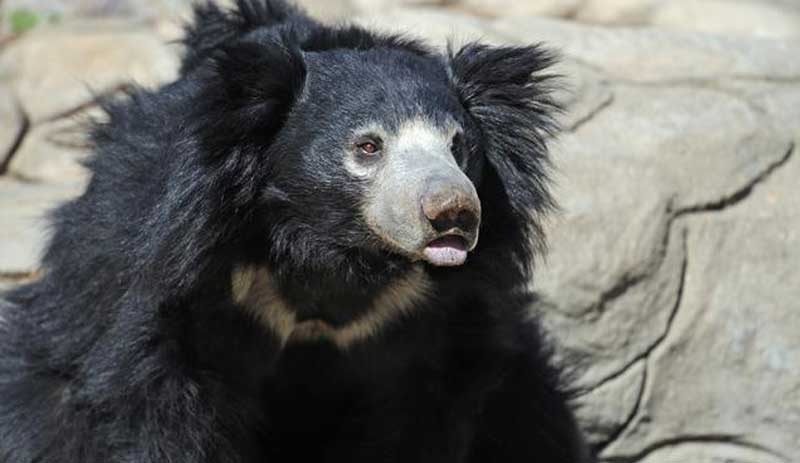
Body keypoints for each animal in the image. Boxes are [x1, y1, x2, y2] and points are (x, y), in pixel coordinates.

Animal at [0, 0, 588, 463]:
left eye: (459, 145)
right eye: (368, 146)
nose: (452, 213)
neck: (330, 246)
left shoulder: (432, 322)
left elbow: (420, 416)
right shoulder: (184, 279)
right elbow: (160, 402)